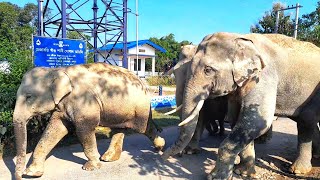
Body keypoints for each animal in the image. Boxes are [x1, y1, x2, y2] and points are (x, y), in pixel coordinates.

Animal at [13, 62, 165, 179]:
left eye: (29, 96)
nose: (19, 177)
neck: (58, 70)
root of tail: (144, 83)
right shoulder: (63, 106)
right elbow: (55, 130)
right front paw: (32, 173)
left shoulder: (85, 101)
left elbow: (84, 130)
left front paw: (90, 167)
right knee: (118, 130)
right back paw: (108, 158)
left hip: (140, 108)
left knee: (145, 128)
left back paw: (160, 147)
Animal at [161, 32, 320, 179]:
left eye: (208, 70)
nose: (162, 155)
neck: (240, 38)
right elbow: (239, 119)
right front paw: (242, 172)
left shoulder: (263, 75)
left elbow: (257, 120)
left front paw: (216, 177)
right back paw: (314, 157)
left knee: (306, 121)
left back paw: (297, 170)